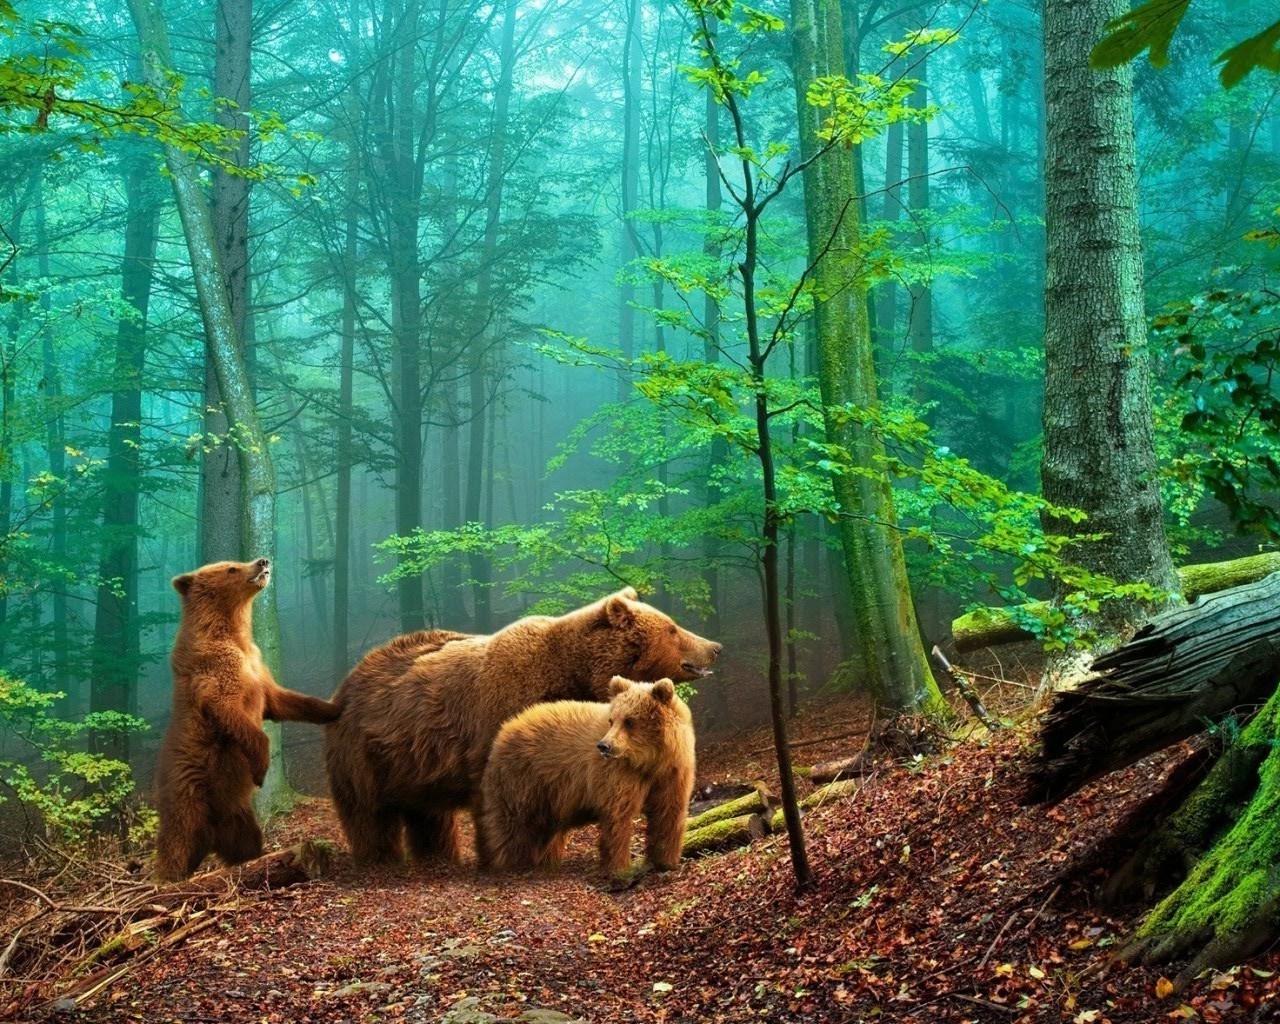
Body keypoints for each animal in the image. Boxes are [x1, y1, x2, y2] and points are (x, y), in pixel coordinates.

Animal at [152, 560, 343, 880]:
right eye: (231, 568)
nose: (263, 561)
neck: (232, 634)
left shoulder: (258, 668)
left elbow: (283, 701)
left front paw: (335, 706)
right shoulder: (215, 672)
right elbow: (232, 713)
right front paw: (261, 769)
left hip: (238, 816)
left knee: (246, 842)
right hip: (188, 795)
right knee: (177, 842)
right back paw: (168, 878)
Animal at [481, 675, 696, 875]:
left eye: (629, 721)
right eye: (612, 720)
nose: (604, 746)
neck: (650, 761)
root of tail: (507, 726)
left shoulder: (673, 773)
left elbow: (669, 812)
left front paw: (666, 861)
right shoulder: (618, 774)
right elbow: (618, 816)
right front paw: (620, 868)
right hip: (523, 780)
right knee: (513, 824)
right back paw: (509, 863)